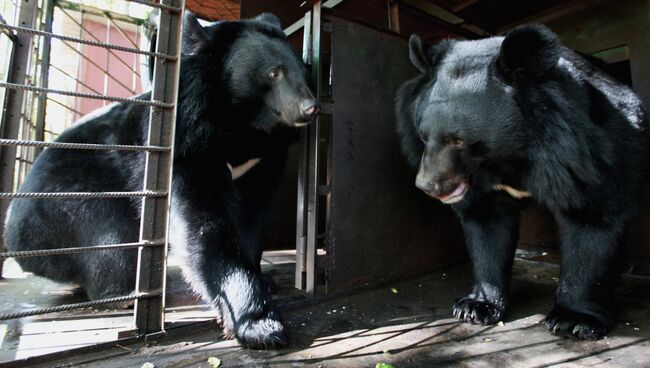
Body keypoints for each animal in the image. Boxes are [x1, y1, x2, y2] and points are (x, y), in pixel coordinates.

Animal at [3, 12, 318, 350]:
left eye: (305, 71)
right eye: (273, 72)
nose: (310, 108)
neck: (242, 126)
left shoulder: (264, 159)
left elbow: (253, 215)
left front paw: (265, 281)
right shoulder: (188, 142)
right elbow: (203, 223)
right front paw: (260, 325)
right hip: (68, 203)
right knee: (112, 239)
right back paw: (126, 293)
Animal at [394, 23, 648, 340]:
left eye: (458, 140)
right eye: (423, 134)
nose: (427, 186)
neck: (509, 157)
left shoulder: (589, 150)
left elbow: (592, 218)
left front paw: (573, 320)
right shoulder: (485, 189)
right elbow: (488, 226)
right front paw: (476, 306)